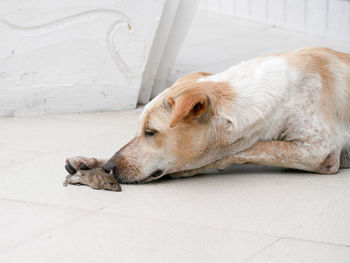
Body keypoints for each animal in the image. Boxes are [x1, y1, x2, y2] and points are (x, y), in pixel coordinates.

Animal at [65, 47, 350, 184]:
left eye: (151, 132)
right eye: (139, 129)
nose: (110, 168)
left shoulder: (320, 150)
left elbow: (244, 149)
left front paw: (188, 170)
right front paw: (92, 161)